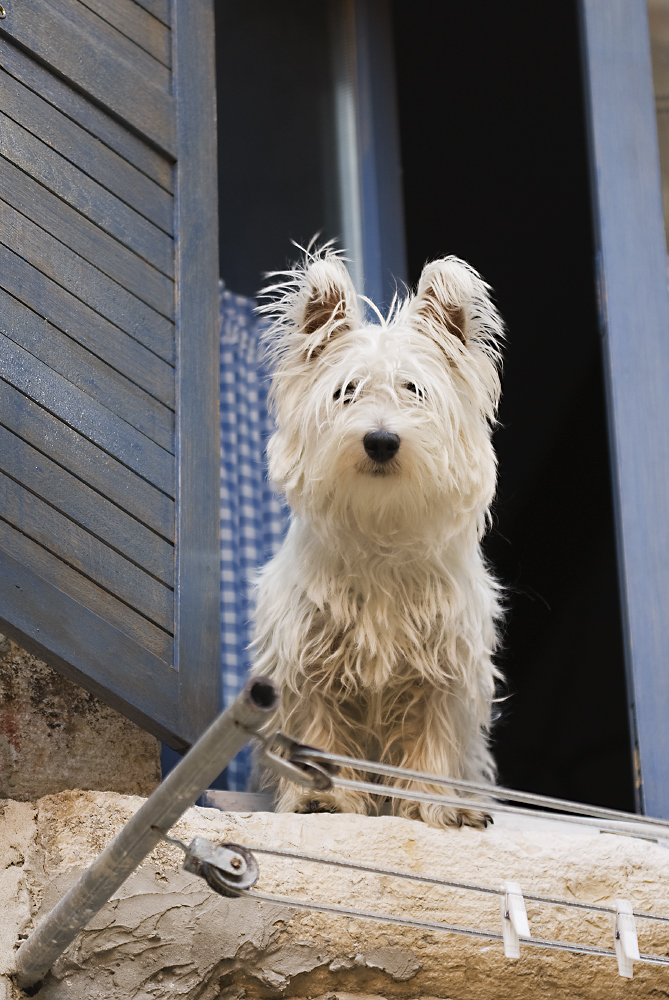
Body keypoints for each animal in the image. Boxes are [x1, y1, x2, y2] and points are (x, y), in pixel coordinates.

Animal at [253, 248, 504, 828]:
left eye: (415, 390)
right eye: (346, 391)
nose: (381, 440)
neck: (381, 531)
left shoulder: (442, 669)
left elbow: (433, 743)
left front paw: (430, 809)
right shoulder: (309, 661)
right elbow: (317, 733)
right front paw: (321, 798)